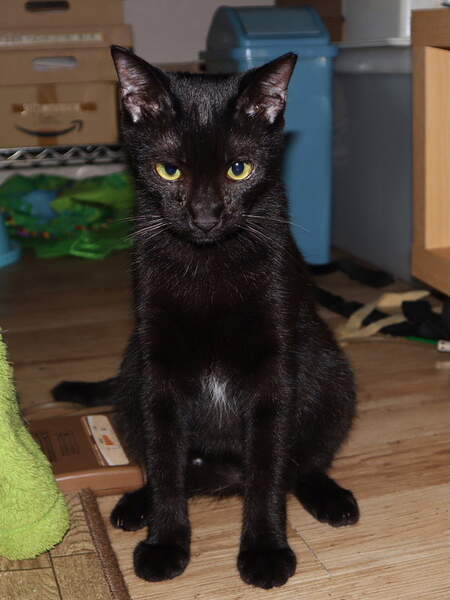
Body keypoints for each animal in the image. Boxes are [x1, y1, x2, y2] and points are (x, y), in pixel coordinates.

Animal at [52, 45, 359, 589]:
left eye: (239, 169)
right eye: (168, 170)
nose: (205, 216)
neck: (208, 262)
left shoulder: (274, 368)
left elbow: (268, 470)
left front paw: (265, 550)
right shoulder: (157, 366)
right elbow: (166, 464)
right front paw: (165, 543)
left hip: (331, 374)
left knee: (303, 461)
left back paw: (330, 497)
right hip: (131, 379)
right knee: (173, 466)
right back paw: (136, 505)